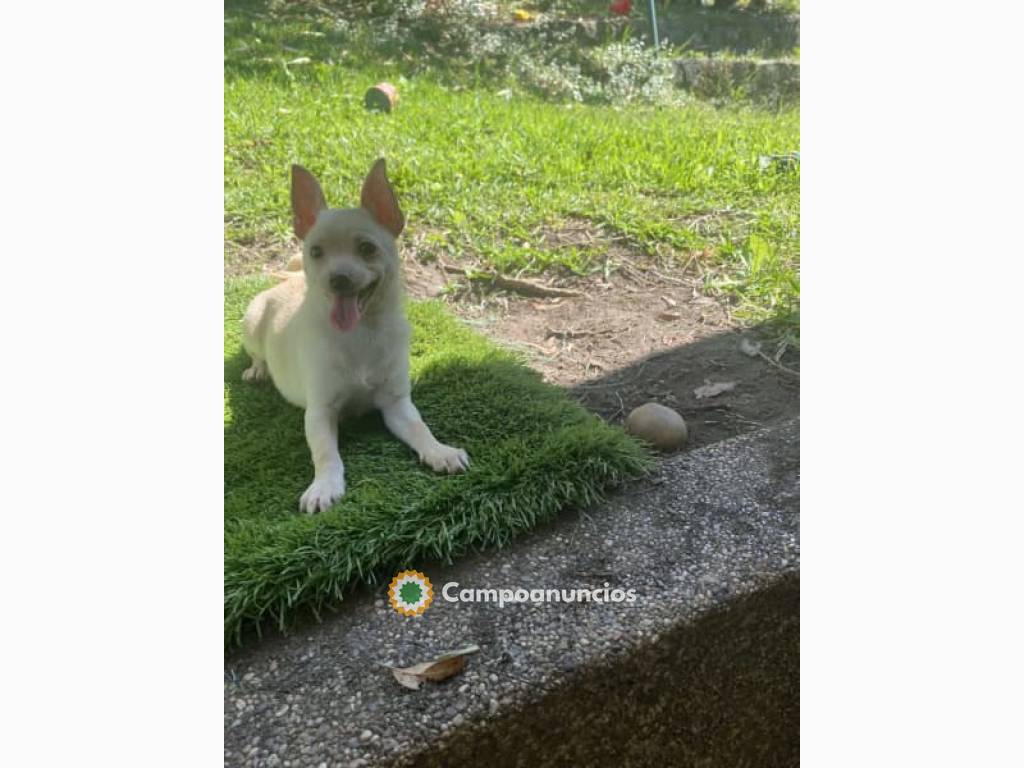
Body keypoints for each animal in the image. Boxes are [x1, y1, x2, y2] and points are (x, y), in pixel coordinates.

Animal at [241, 159, 468, 514]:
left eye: (367, 249)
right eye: (316, 252)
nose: (337, 279)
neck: (362, 333)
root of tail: (290, 278)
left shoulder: (396, 404)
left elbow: (420, 428)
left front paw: (440, 451)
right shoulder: (319, 413)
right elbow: (326, 454)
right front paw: (324, 486)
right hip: (251, 323)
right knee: (257, 354)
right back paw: (257, 370)